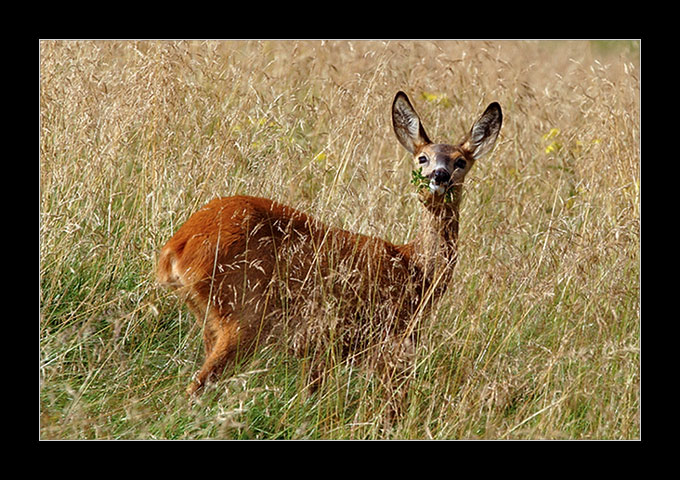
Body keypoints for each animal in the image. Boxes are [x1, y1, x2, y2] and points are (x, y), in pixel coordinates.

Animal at [157, 91, 502, 412]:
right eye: (422, 158)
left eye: (461, 161)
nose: (439, 176)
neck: (414, 267)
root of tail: (176, 248)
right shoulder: (385, 339)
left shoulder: (323, 347)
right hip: (243, 313)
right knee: (196, 387)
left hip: (210, 320)